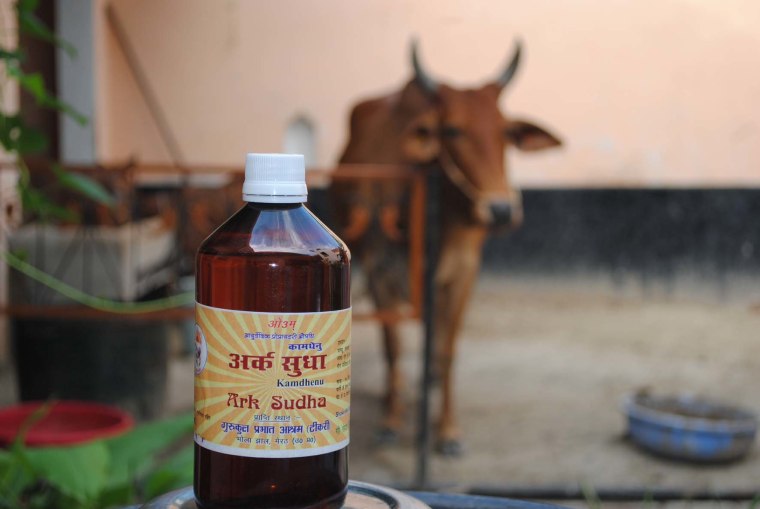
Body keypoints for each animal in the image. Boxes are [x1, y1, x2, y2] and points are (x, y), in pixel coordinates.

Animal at [334, 38, 564, 452]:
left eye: (507, 132)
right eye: (454, 130)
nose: (501, 210)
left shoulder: (463, 271)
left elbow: (448, 348)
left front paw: (447, 430)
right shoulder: (379, 268)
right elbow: (393, 346)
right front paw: (391, 420)